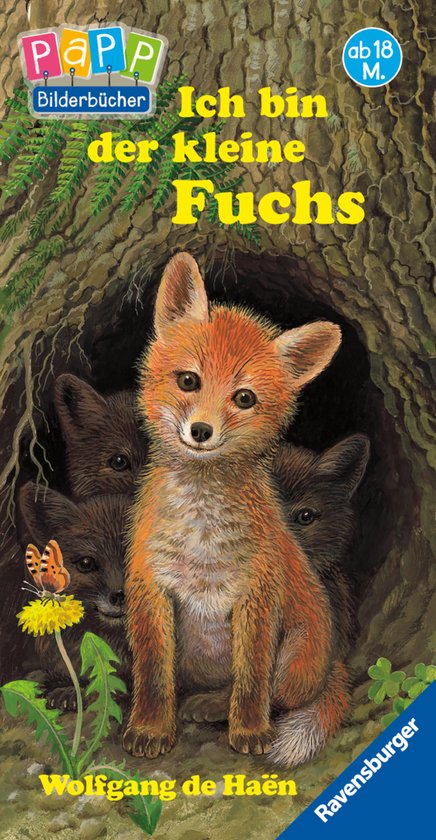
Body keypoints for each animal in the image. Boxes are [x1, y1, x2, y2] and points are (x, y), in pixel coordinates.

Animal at [123, 251, 349, 767]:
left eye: (243, 398)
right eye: (189, 381)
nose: (201, 431)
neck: (201, 532)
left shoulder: (257, 592)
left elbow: (251, 678)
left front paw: (248, 729)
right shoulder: (149, 585)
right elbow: (153, 674)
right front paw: (149, 727)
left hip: (297, 656)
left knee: (278, 693)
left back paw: (215, 707)